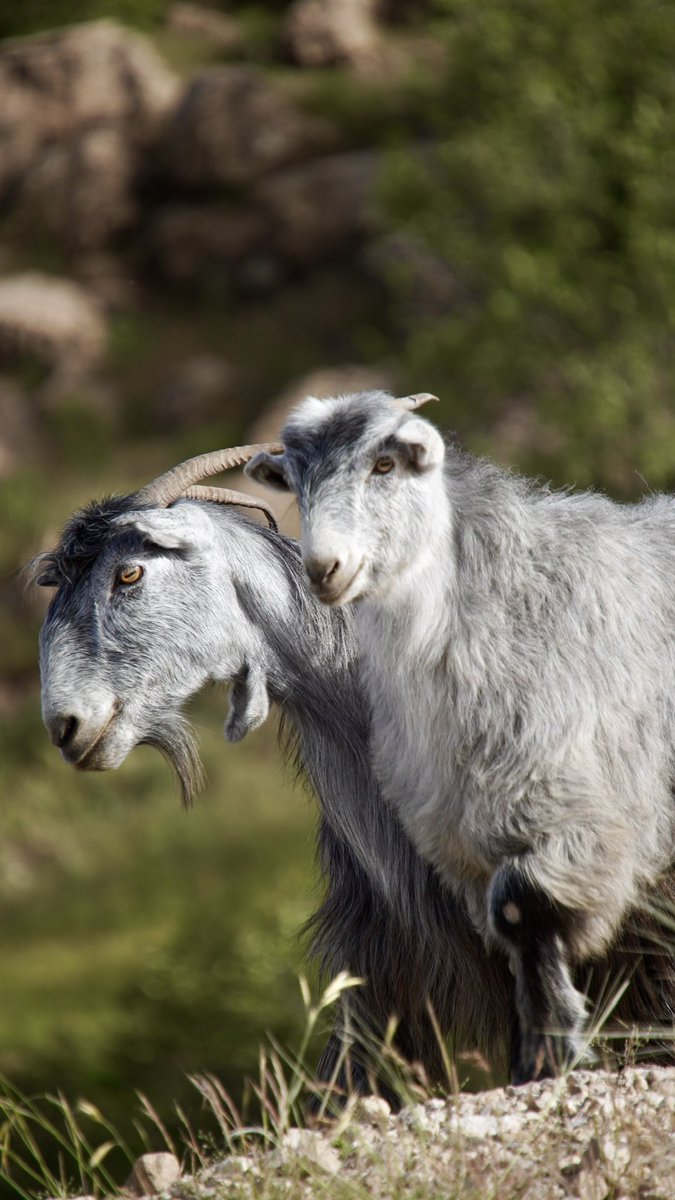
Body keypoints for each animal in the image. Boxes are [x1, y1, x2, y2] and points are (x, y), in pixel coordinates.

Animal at [247, 390, 675, 1083]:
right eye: (296, 481)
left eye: (385, 464)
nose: (323, 569)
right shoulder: (466, 840)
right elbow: (511, 927)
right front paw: (539, 1054)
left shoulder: (589, 816)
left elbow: (523, 904)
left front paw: (552, 1046)